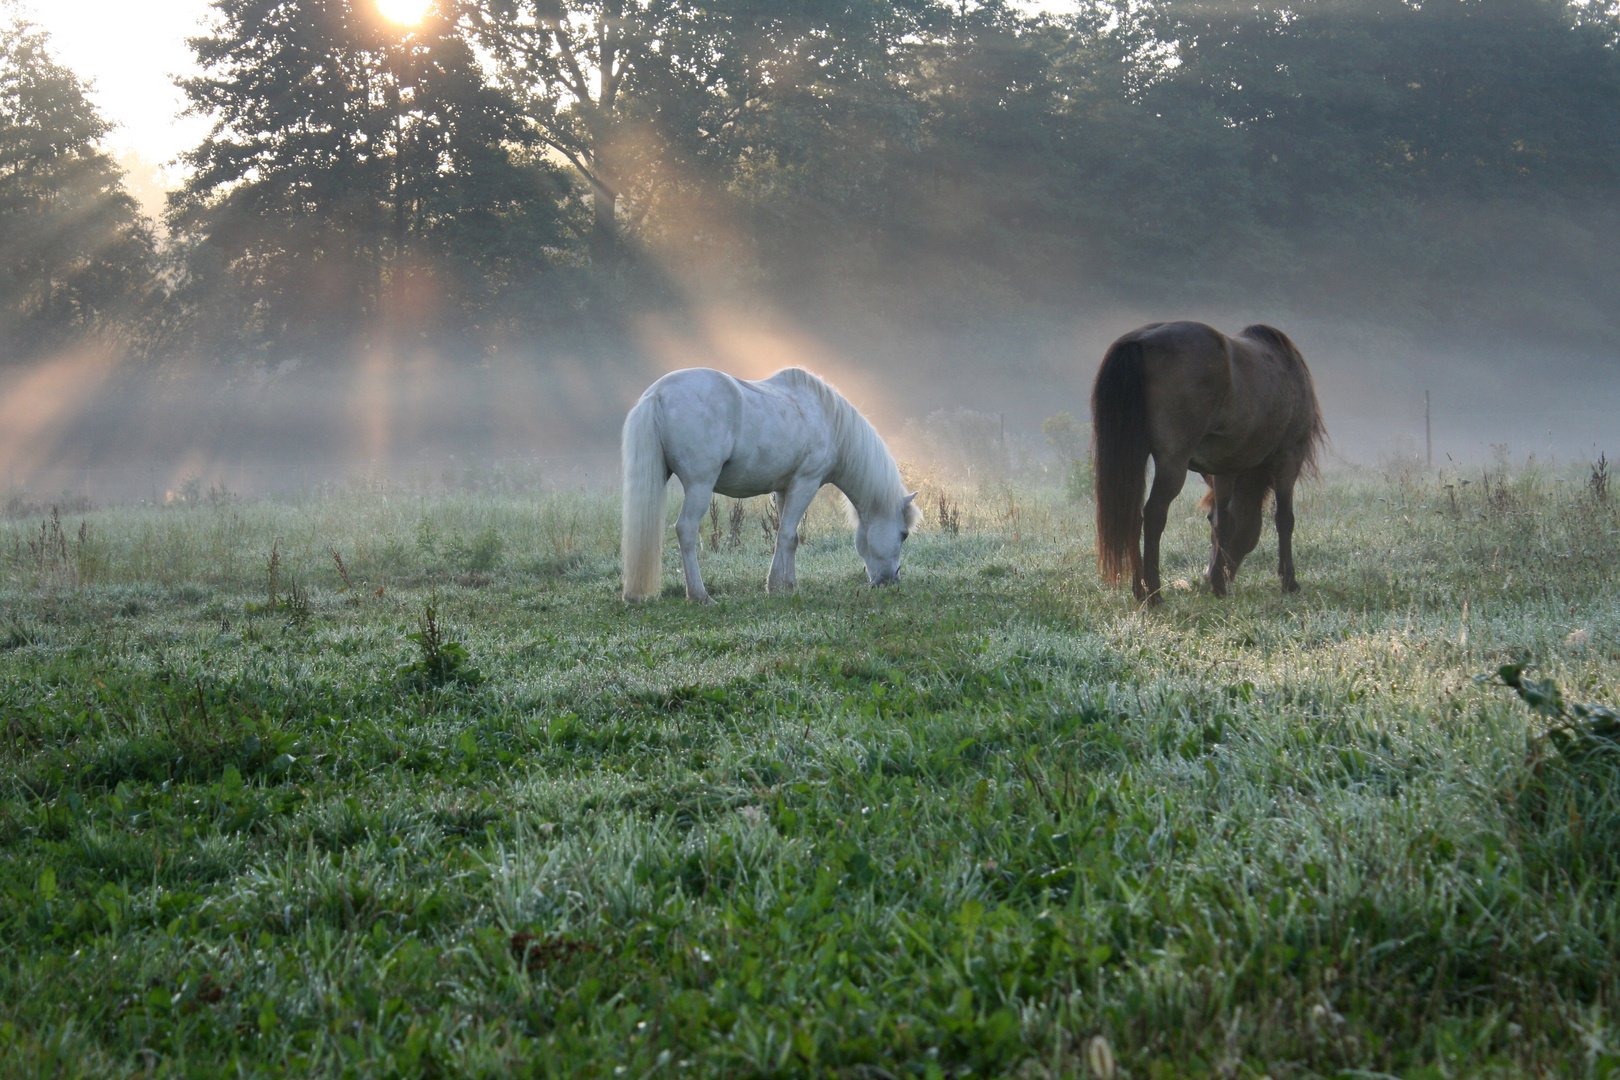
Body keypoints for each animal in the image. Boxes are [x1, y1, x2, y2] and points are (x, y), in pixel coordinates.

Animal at [618, 367, 926, 605]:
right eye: (903, 534)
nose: (890, 581)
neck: (827, 419)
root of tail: (657, 394)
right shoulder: (806, 483)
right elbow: (789, 535)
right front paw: (778, 585)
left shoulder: (783, 489)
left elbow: (787, 537)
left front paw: (787, 583)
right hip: (699, 486)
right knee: (686, 530)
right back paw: (699, 595)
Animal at [1088, 320, 1328, 608]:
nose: (1209, 575)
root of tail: (1140, 340)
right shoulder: (1289, 457)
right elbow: (1284, 519)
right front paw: (1289, 582)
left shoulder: (1225, 467)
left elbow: (1222, 521)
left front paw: (1218, 585)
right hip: (1173, 463)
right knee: (1154, 514)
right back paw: (1154, 593)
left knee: (1133, 518)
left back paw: (1140, 590)